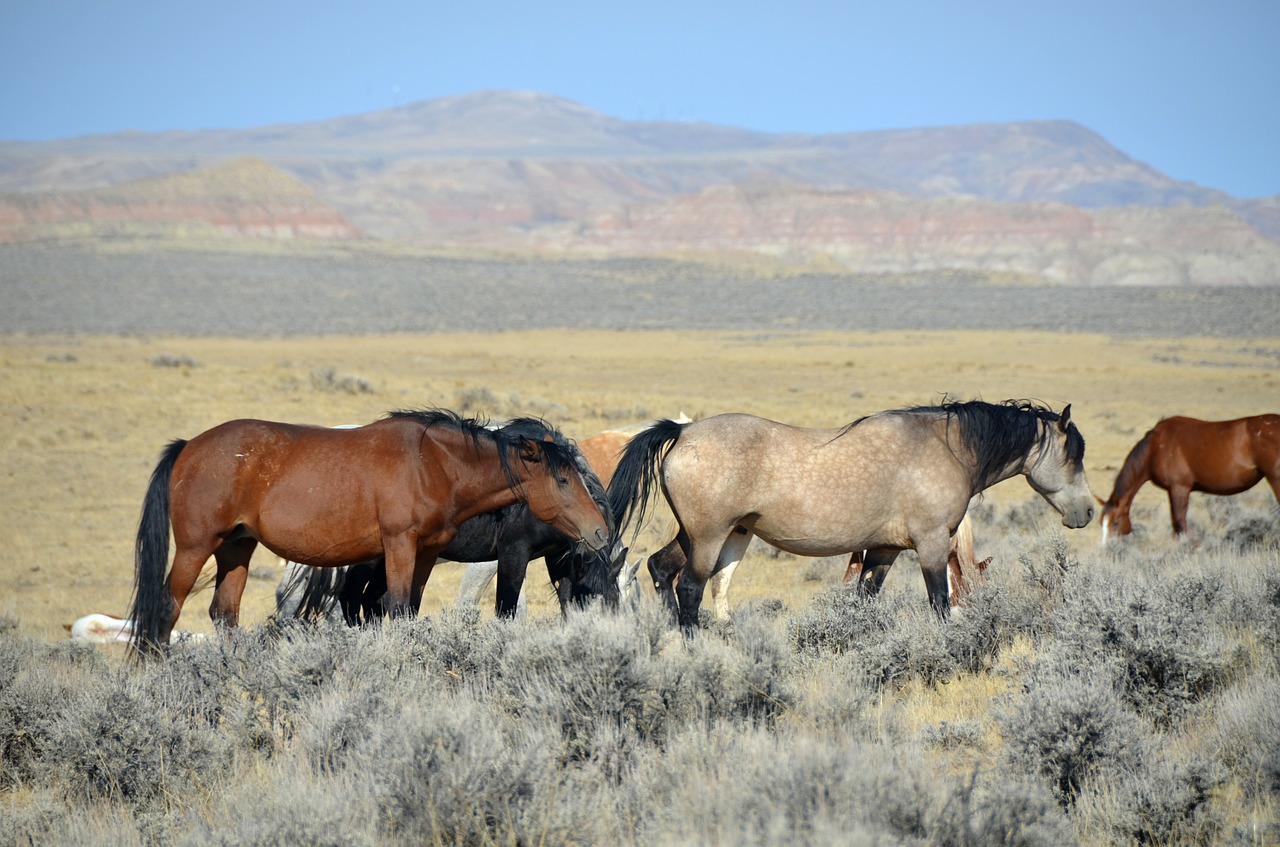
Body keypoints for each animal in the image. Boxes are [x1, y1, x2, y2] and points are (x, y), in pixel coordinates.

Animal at [609, 401, 1090, 626]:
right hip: (709, 537)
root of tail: (683, 431)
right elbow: (940, 602)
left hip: (698, 534)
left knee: (660, 568)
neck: (945, 448)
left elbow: (864, 601)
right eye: (1074, 454)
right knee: (689, 588)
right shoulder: (932, 545)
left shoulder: (884, 551)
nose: (1085, 512)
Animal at [1100, 417, 1280, 545]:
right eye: (1101, 522)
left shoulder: (1179, 488)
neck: (1156, 447)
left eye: (1115, 523)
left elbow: (1179, 524)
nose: (1107, 548)